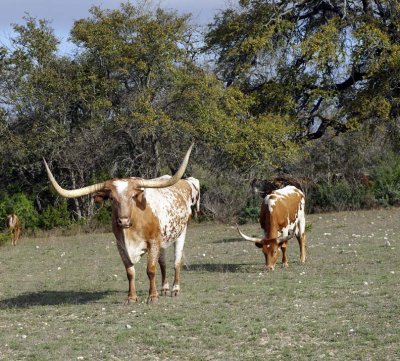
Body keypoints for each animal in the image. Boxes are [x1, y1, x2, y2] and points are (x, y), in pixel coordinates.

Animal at [44, 145, 199, 302]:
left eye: (132, 196)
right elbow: (130, 271)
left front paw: (152, 296)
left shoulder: (153, 242)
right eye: (112, 198)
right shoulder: (121, 246)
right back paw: (165, 288)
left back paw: (175, 289)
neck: (131, 231)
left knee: (176, 262)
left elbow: (150, 269)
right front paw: (131, 297)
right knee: (163, 263)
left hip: (181, 233)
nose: (123, 221)